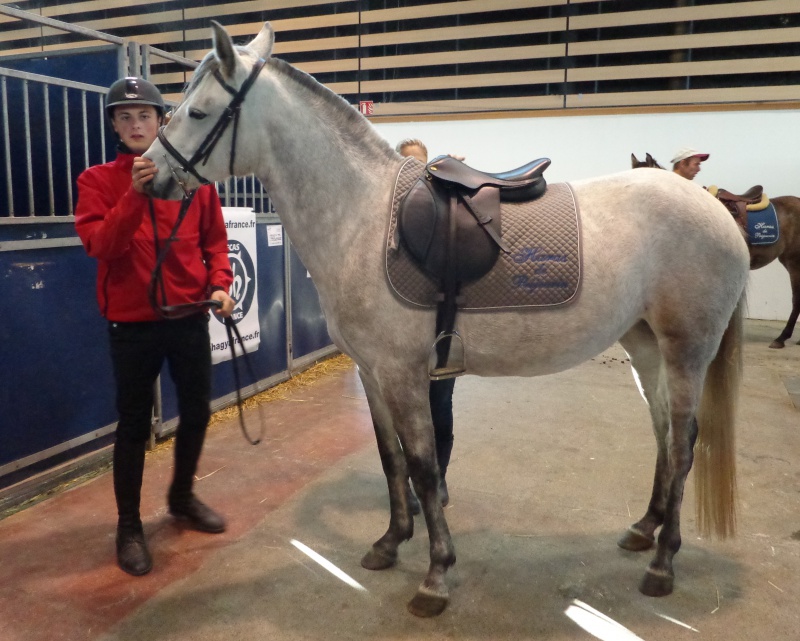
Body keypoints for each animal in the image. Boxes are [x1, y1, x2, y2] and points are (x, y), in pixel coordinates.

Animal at [144, 22, 752, 616]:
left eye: (196, 112)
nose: (145, 175)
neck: (362, 218)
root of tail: (717, 209)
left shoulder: (404, 374)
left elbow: (423, 462)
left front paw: (435, 576)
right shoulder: (372, 373)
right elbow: (391, 459)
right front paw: (390, 543)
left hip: (686, 349)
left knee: (683, 441)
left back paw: (663, 564)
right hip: (645, 344)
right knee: (664, 431)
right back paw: (644, 529)